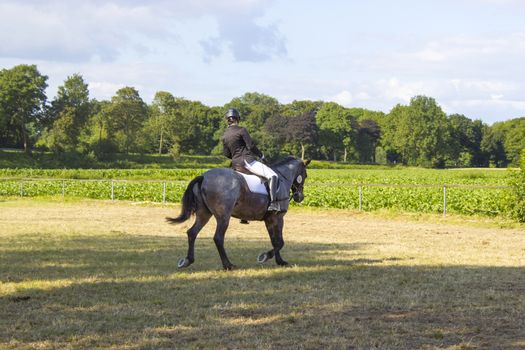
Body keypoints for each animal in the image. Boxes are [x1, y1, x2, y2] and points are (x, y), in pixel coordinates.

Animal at [166, 157, 310, 270]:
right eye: (306, 175)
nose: (299, 197)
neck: (282, 178)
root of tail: (204, 177)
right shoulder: (278, 218)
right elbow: (280, 242)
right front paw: (264, 256)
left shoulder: (269, 220)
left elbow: (275, 241)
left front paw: (280, 261)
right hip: (223, 217)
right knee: (218, 237)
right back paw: (228, 265)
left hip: (204, 214)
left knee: (192, 233)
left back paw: (187, 260)